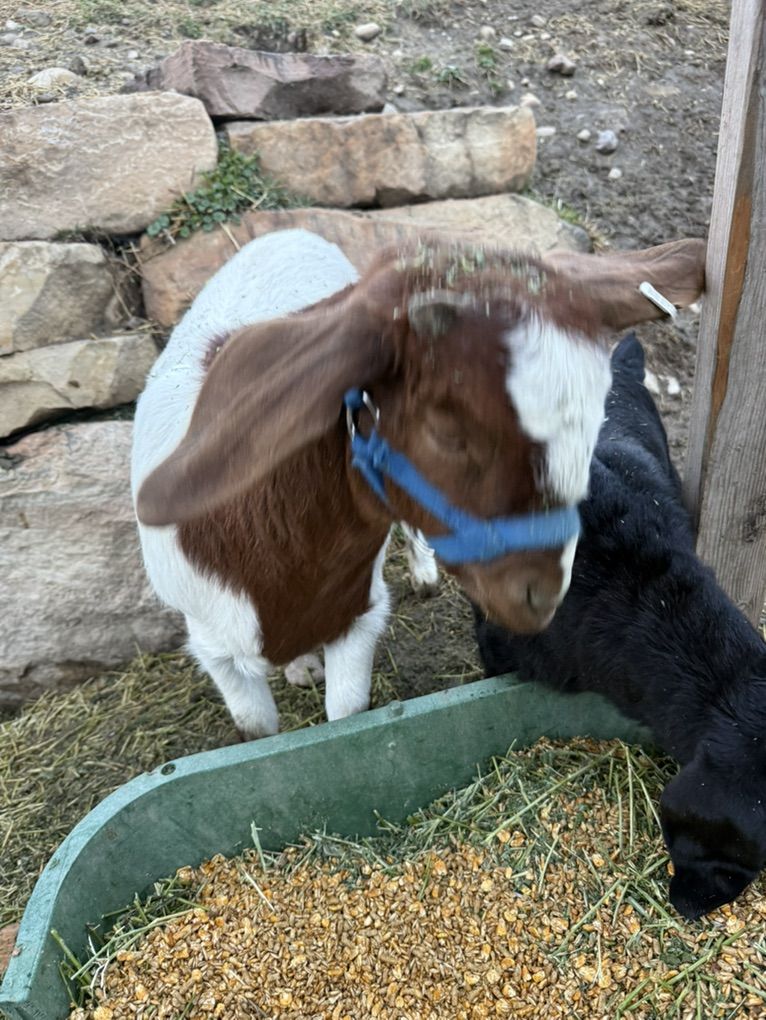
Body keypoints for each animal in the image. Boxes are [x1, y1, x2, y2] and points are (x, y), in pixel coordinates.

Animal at [132, 229, 704, 741]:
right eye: (447, 428)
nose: (540, 597)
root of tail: (283, 232)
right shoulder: (215, 648)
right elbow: (257, 732)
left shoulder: (358, 614)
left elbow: (345, 718)